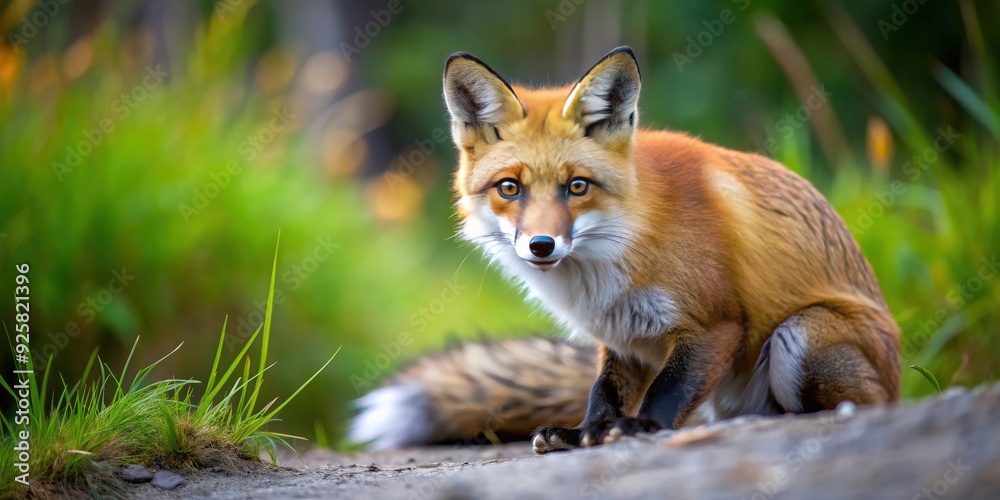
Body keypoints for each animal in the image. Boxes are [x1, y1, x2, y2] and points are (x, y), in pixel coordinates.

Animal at [350, 47, 900, 453]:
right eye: (510, 188)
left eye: (576, 186)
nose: (541, 245)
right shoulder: (623, 337)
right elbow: (602, 392)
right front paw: (583, 433)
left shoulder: (715, 323)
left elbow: (667, 390)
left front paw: (641, 428)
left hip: (801, 334)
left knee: (861, 403)